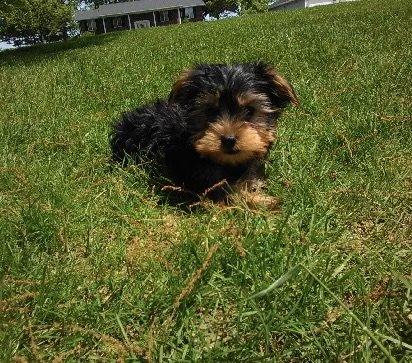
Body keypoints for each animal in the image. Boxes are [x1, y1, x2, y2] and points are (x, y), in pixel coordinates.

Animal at [111, 64, 298, 209]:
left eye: (249, 110)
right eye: (210, 111)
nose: (229, 139)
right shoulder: (198, 179)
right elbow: (225, 193)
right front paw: (261, 200)